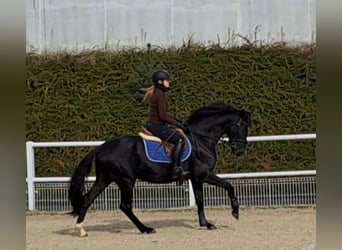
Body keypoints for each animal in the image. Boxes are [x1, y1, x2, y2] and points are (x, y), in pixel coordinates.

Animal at [69, 102, 251, 236]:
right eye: (241, 125)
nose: (240, 150)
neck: (201, 139)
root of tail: (102, 147)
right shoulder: (204, 174)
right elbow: (229, 186)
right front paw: (235, 212)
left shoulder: (195, 178)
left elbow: (200, 200)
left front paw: (206, 224)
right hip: (126, 180)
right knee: (125, 206)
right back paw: (146, 229)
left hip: (104, 179)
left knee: (88, 199)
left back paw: (80, 230)